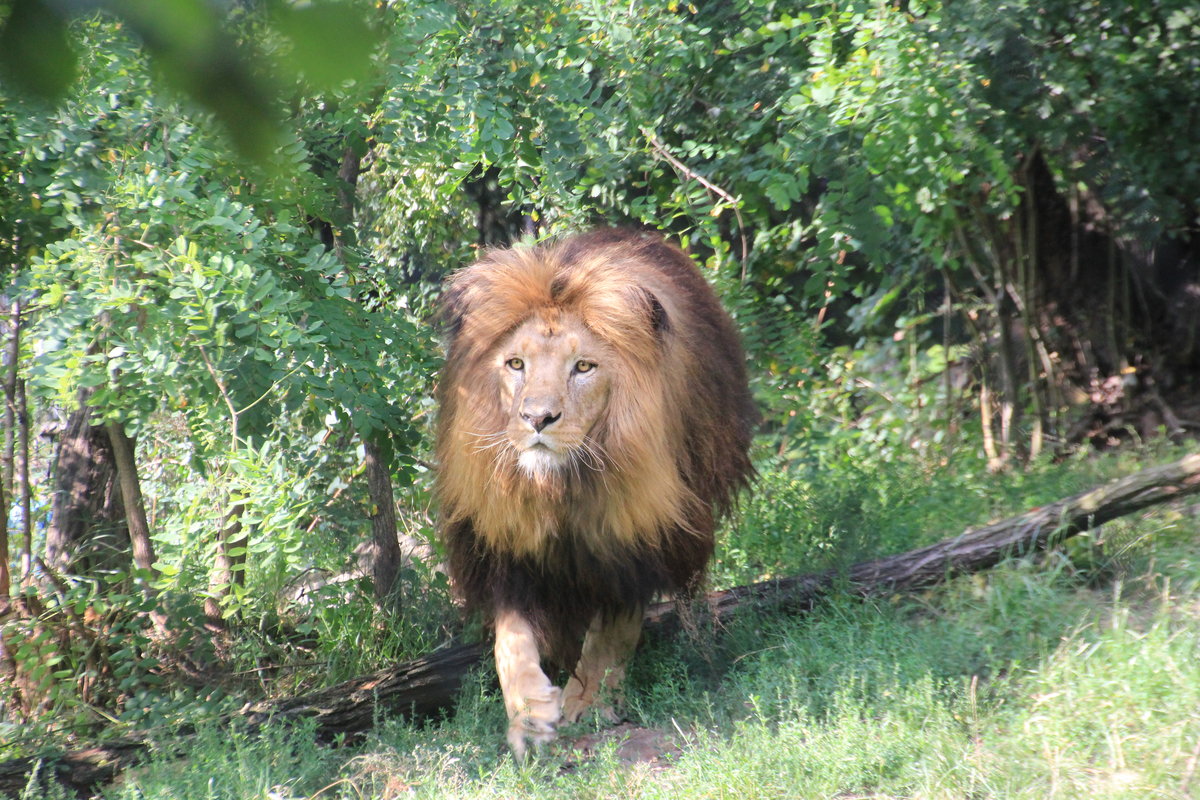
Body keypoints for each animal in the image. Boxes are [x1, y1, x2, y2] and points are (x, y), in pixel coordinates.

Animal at [434, 227, 748, 762]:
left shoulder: (637, 535)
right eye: (515, 364)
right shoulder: (505, 547)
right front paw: (529, 714)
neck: (562, 486)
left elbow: (613, 630)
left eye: (583, 367)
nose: (537, 419)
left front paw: (593, 701)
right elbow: (510, 639)